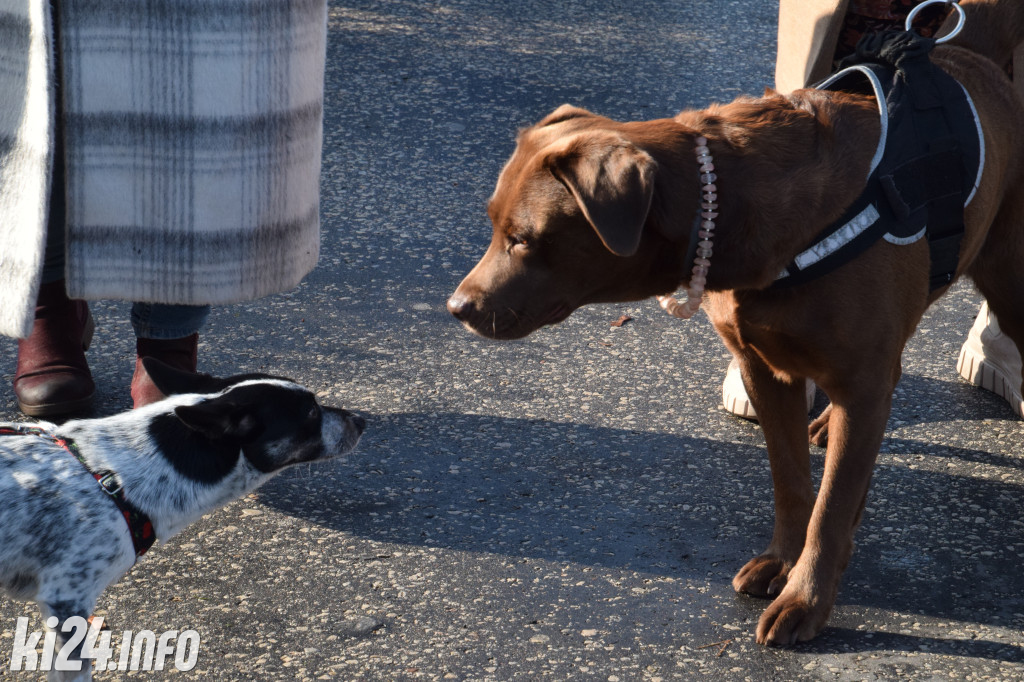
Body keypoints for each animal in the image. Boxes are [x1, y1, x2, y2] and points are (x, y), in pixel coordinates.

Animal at [450, 1, 1024, 643]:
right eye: (493, 225)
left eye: (523, 239)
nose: (457, 307)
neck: (726, 203)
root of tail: (965, 55)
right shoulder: (765, 369)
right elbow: (793, 482)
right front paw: (783, 559)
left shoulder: (859, 379)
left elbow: (830, 506)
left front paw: (806, 599)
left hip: (1012, 278)